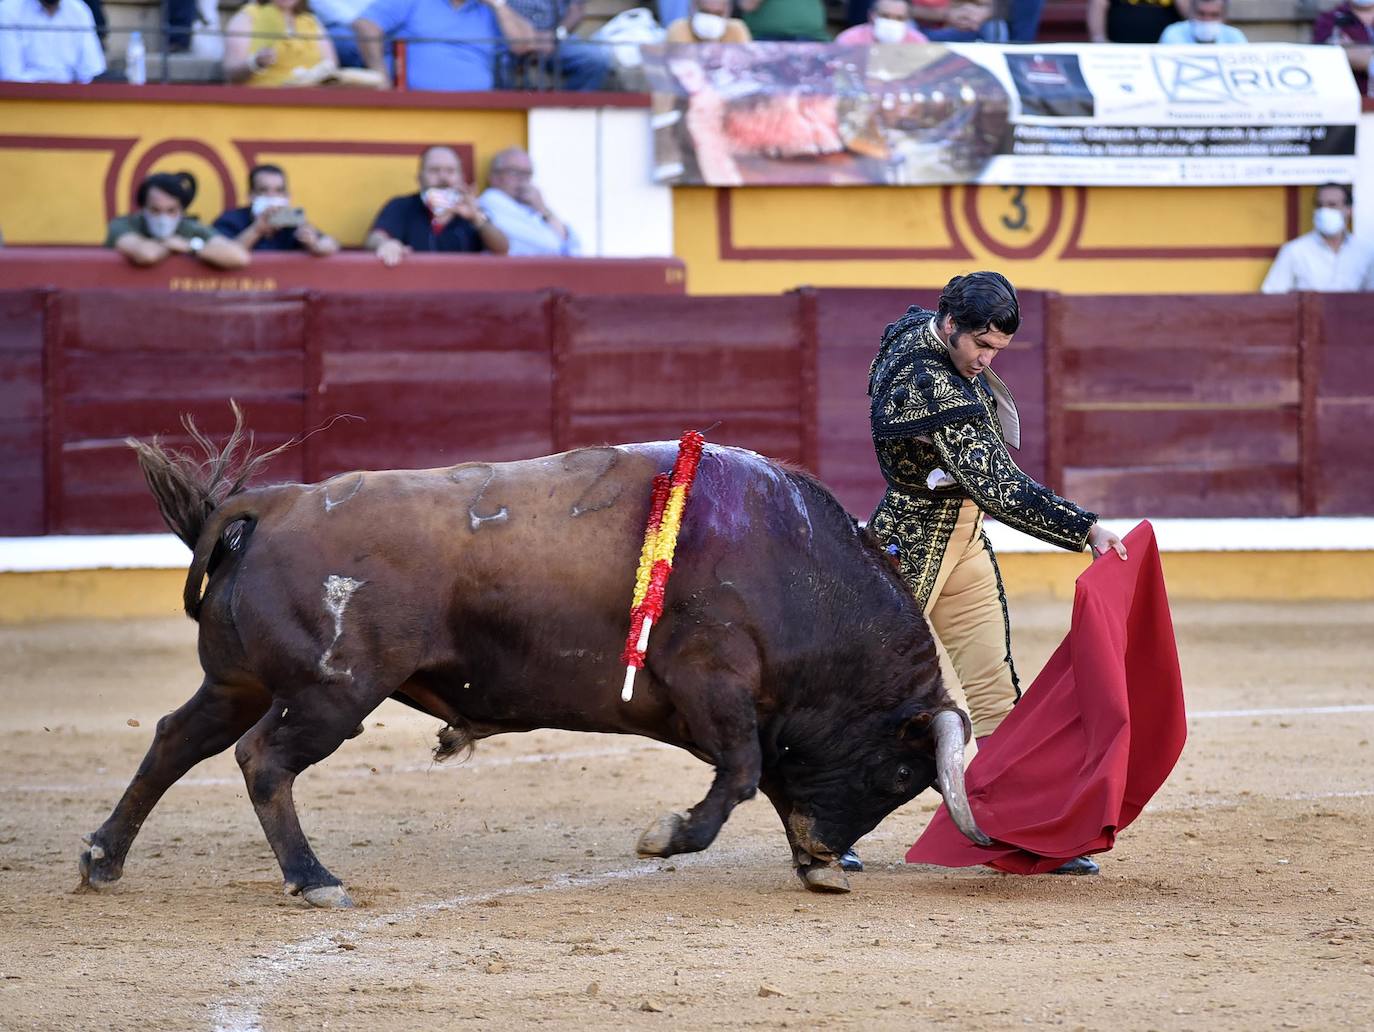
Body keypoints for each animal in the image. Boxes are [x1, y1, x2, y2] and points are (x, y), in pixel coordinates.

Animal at [77, 414, 989, 906]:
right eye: (895, 776)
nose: (829, 857)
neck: (796, 566)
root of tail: (274, 503)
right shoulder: (715, 682)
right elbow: (739, 774)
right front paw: (667, 836)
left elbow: (758, 774)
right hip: (332, 693)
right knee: (263, 760)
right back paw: (313, 878)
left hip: (238, 680)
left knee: (174, 740)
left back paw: (102, 860)